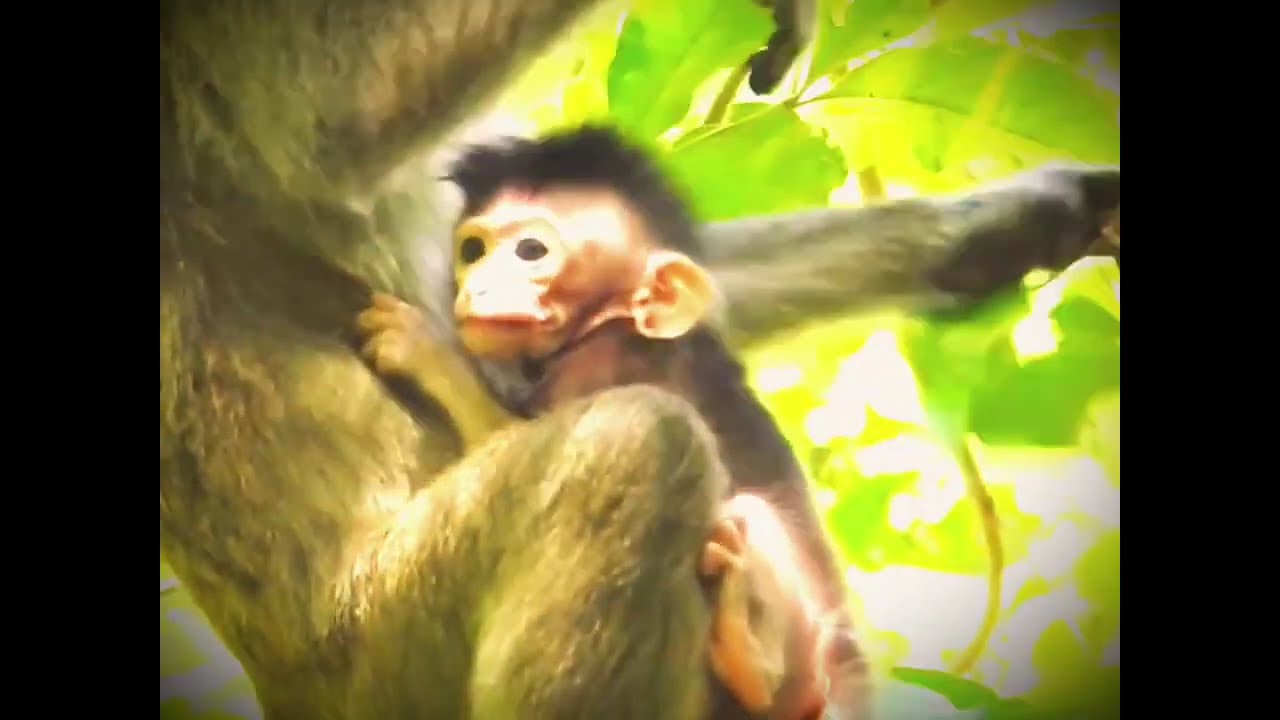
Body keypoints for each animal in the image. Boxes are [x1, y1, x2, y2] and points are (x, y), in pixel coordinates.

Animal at [159, 0, 1120, 716]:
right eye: (476, 252)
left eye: (532, 252)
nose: (481, 290)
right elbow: (335, 125)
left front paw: (1001, 228)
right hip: (387, 640)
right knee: (641, 445)